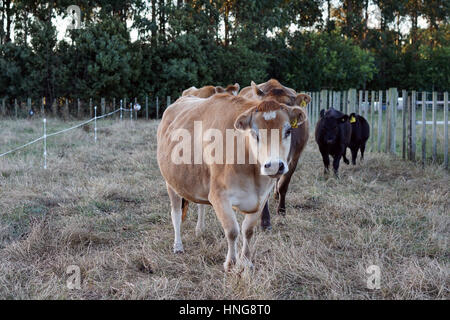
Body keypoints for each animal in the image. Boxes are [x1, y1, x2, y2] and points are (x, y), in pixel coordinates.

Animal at [156, 94, 308, 272]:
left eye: (288, 131)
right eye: (254, 133)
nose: (275, 165)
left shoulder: (262, 197)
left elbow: (248, 230)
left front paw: (247, 261)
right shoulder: (219, 196)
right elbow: (232, 230)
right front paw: (231, 263)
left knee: (200, 204)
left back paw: (200, 230)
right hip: (171, 183)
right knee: (176, 214)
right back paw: (178, 245)